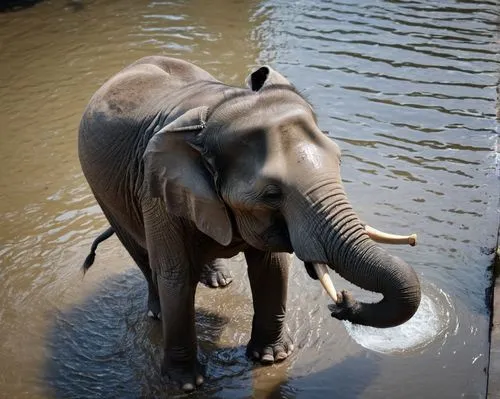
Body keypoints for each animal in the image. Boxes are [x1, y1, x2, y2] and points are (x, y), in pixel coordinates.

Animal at [79, 56, 422, 394]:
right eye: (272, 194)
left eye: (339, 161)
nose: (341, 303)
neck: (218, 106)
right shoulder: (157, 192)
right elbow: (175, 274)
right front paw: (185, 384)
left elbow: (272, 266)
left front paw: (272, 358)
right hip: (104, 191)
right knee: (141, 252)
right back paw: (160, 312)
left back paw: (218, 280)